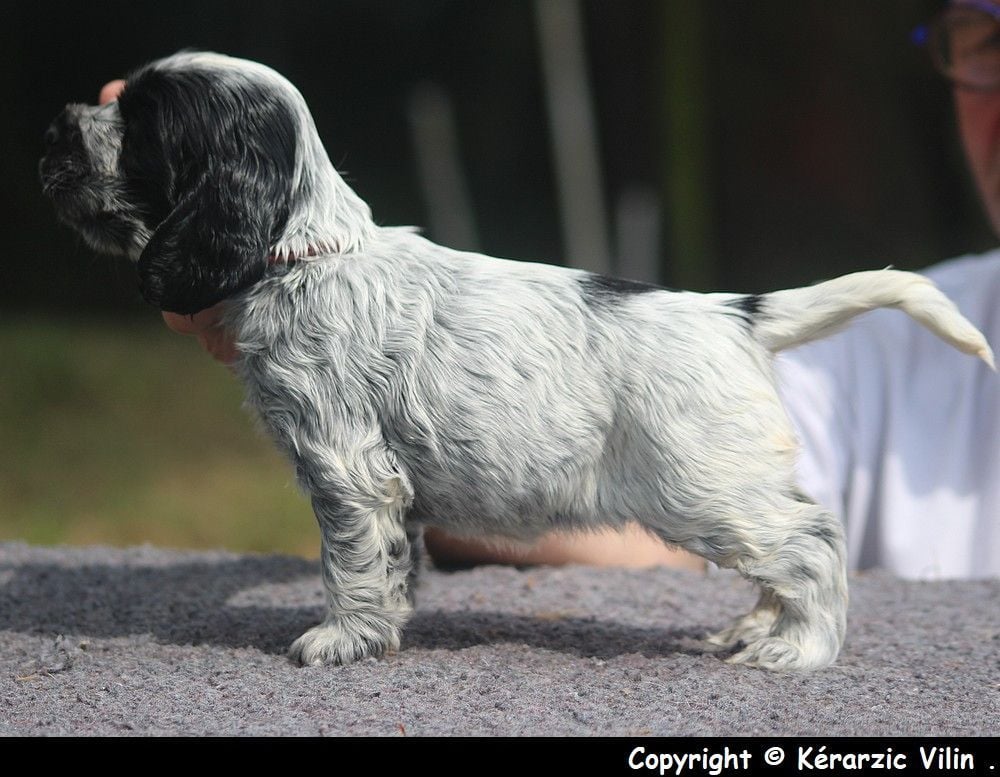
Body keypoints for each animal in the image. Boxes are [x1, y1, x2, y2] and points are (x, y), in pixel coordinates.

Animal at [39, 50, 992, 668]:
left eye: (139, 121)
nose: (55, 129)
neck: (306, 250)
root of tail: (732, 309)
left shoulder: (344, 463)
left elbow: (349, 557)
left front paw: (342, 637)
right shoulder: (384, 479)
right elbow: (396, 556)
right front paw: (388, 624)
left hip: (702, 490)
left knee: (814, 541)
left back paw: (799, 648)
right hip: (729, 487)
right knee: (787, 549)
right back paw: (755, 628)